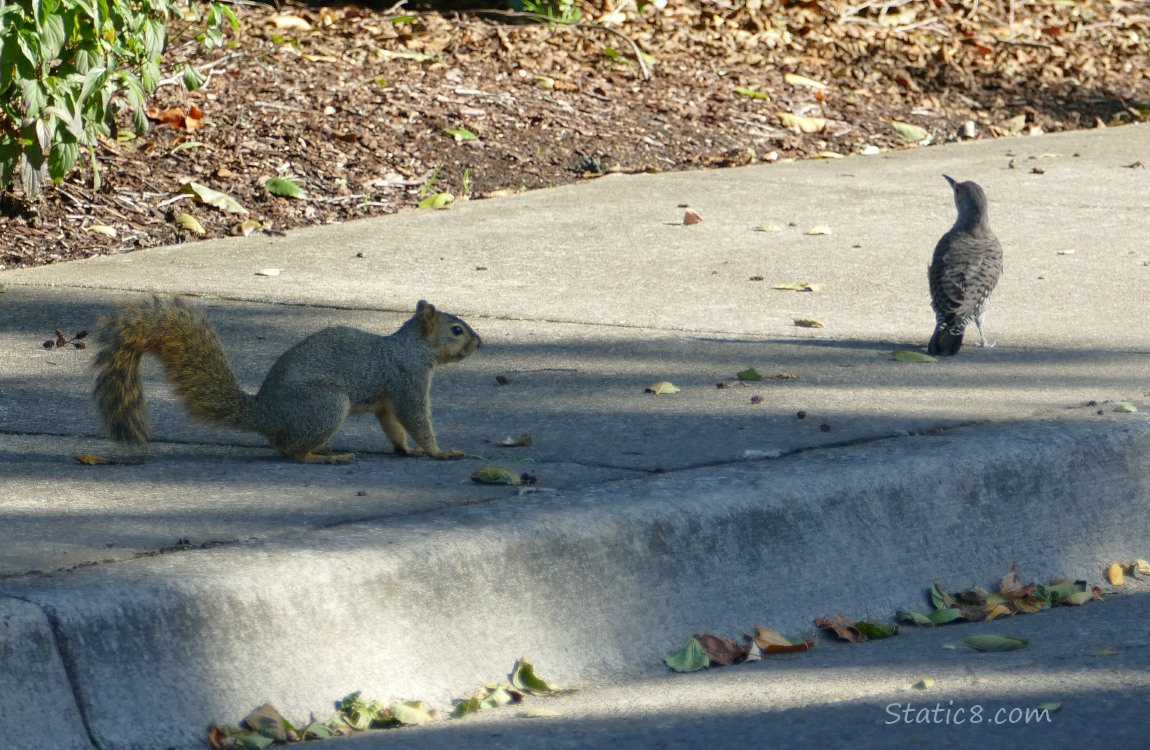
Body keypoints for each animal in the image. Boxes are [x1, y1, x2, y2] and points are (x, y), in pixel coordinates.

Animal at [90, 296, 480, 462]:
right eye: (457, 330)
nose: (481, 343)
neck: (412, 348)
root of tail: (267, 413)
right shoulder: (408, 382)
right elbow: (415, 418)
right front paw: (439, 452)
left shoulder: (386, 402)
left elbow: (394, 425)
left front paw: (405, 449)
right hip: (326, 404)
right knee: (292, 451)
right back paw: (324, 457)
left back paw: (323, 449)